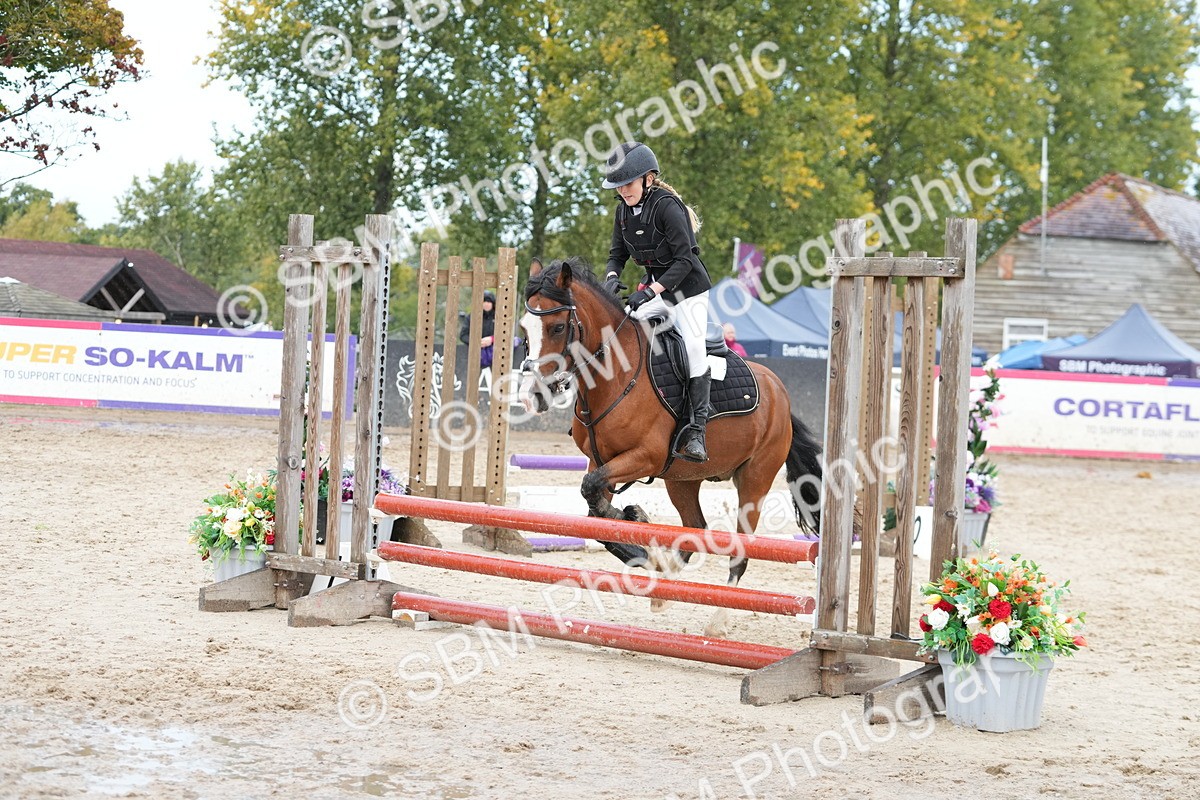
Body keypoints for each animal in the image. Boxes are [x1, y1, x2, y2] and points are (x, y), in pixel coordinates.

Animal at [517, 258, 824, 636]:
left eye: (558, 327)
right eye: (524, 329)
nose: (533, 395)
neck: (616, 375)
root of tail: (778, 390)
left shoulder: (644, 458)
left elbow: (594, 498)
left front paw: (635, 518)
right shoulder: (599, 460)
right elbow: (595, 513)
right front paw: (638, 528)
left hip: (755, 478)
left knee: (740, 549)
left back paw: (717, 622)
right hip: (682, 479)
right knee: (695, 529)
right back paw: (665, 582)